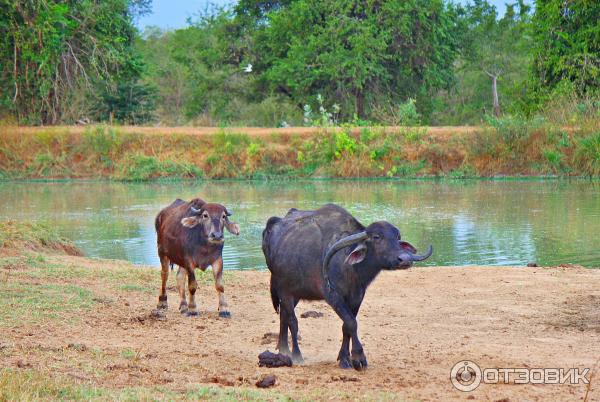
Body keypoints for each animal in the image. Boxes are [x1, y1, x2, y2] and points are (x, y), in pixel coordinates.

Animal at [262, 204, 432, 370]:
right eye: (377, 237)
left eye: (398, 237)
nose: (405, 259)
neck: (350, 269)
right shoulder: (333, 295)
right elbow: (351, 323)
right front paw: (358, 358)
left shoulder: (357, 296)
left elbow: (347, 326)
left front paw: (344, 358)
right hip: (284, 290)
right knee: (292, 321)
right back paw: (296, 355)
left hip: (295, 293)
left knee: (284, 316)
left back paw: (283, 350)